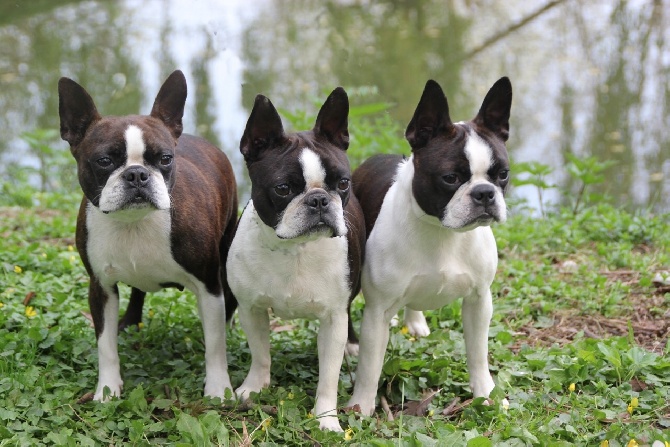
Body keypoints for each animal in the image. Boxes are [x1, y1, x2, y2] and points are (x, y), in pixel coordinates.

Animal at [58, 71, 239, 402]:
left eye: (165, 159)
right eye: (104, 161)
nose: (137, 174)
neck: (134, 223)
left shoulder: (209, 285)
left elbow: (215, 345)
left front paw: (219, 389)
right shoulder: (100, 287)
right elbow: (105, 345)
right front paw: (107, 389)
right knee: (137, 292)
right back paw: (129, 322)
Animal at [227, 88, 364, 434]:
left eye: (343, 183)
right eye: (283, 188)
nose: (319, 200)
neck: (296, 250)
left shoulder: (333, 319)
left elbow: (329, 377)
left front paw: (327, 420)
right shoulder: (252, 309)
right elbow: (260, 353)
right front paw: (254, 387)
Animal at [350, 78, 512, 416]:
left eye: (502, 174)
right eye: (450, 178)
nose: (484, 192)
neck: (443, 232)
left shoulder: (479, 301)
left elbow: (478, 354)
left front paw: (487, 393)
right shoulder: (376, 312)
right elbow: (370, 367)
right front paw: (360, 407)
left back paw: (415, 322)